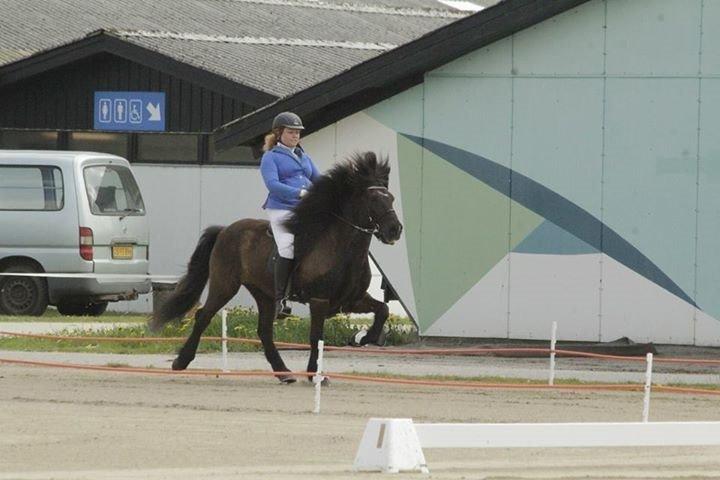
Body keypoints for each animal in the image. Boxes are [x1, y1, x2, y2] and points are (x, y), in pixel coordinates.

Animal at [149, 153, 402, 382]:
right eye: (373, 199)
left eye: (391, 198)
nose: (395, 230)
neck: (342, 249)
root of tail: (225, 230)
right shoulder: (319, 301)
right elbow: (316, 336)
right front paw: (315, 375)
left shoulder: (352, 300)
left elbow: (383, 310)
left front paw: (365, 338)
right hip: (225, 285)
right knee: (203, 316)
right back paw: (180, 362)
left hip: (264, 294)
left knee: (264, 331)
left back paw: (284, 373)